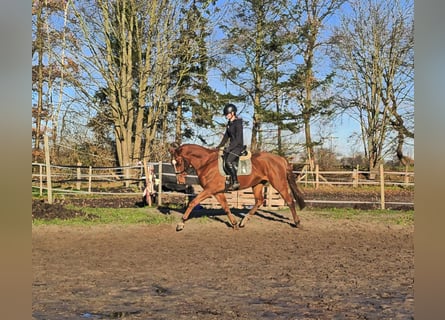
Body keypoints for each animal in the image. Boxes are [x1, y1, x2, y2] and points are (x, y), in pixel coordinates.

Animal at [168, 144, 304, 231]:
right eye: (172, 163)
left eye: (178, 162)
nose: (180, 181)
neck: (206, 162)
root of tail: (280, 159)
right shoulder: (217, 191)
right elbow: (225, 207)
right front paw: (234, 224)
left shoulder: (209, 190)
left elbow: (193, 202)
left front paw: (180, 224)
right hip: (257, 184)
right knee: (259, 201)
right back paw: (243, 222)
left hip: (279, 183)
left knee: (290, 201)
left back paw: (297, 223)